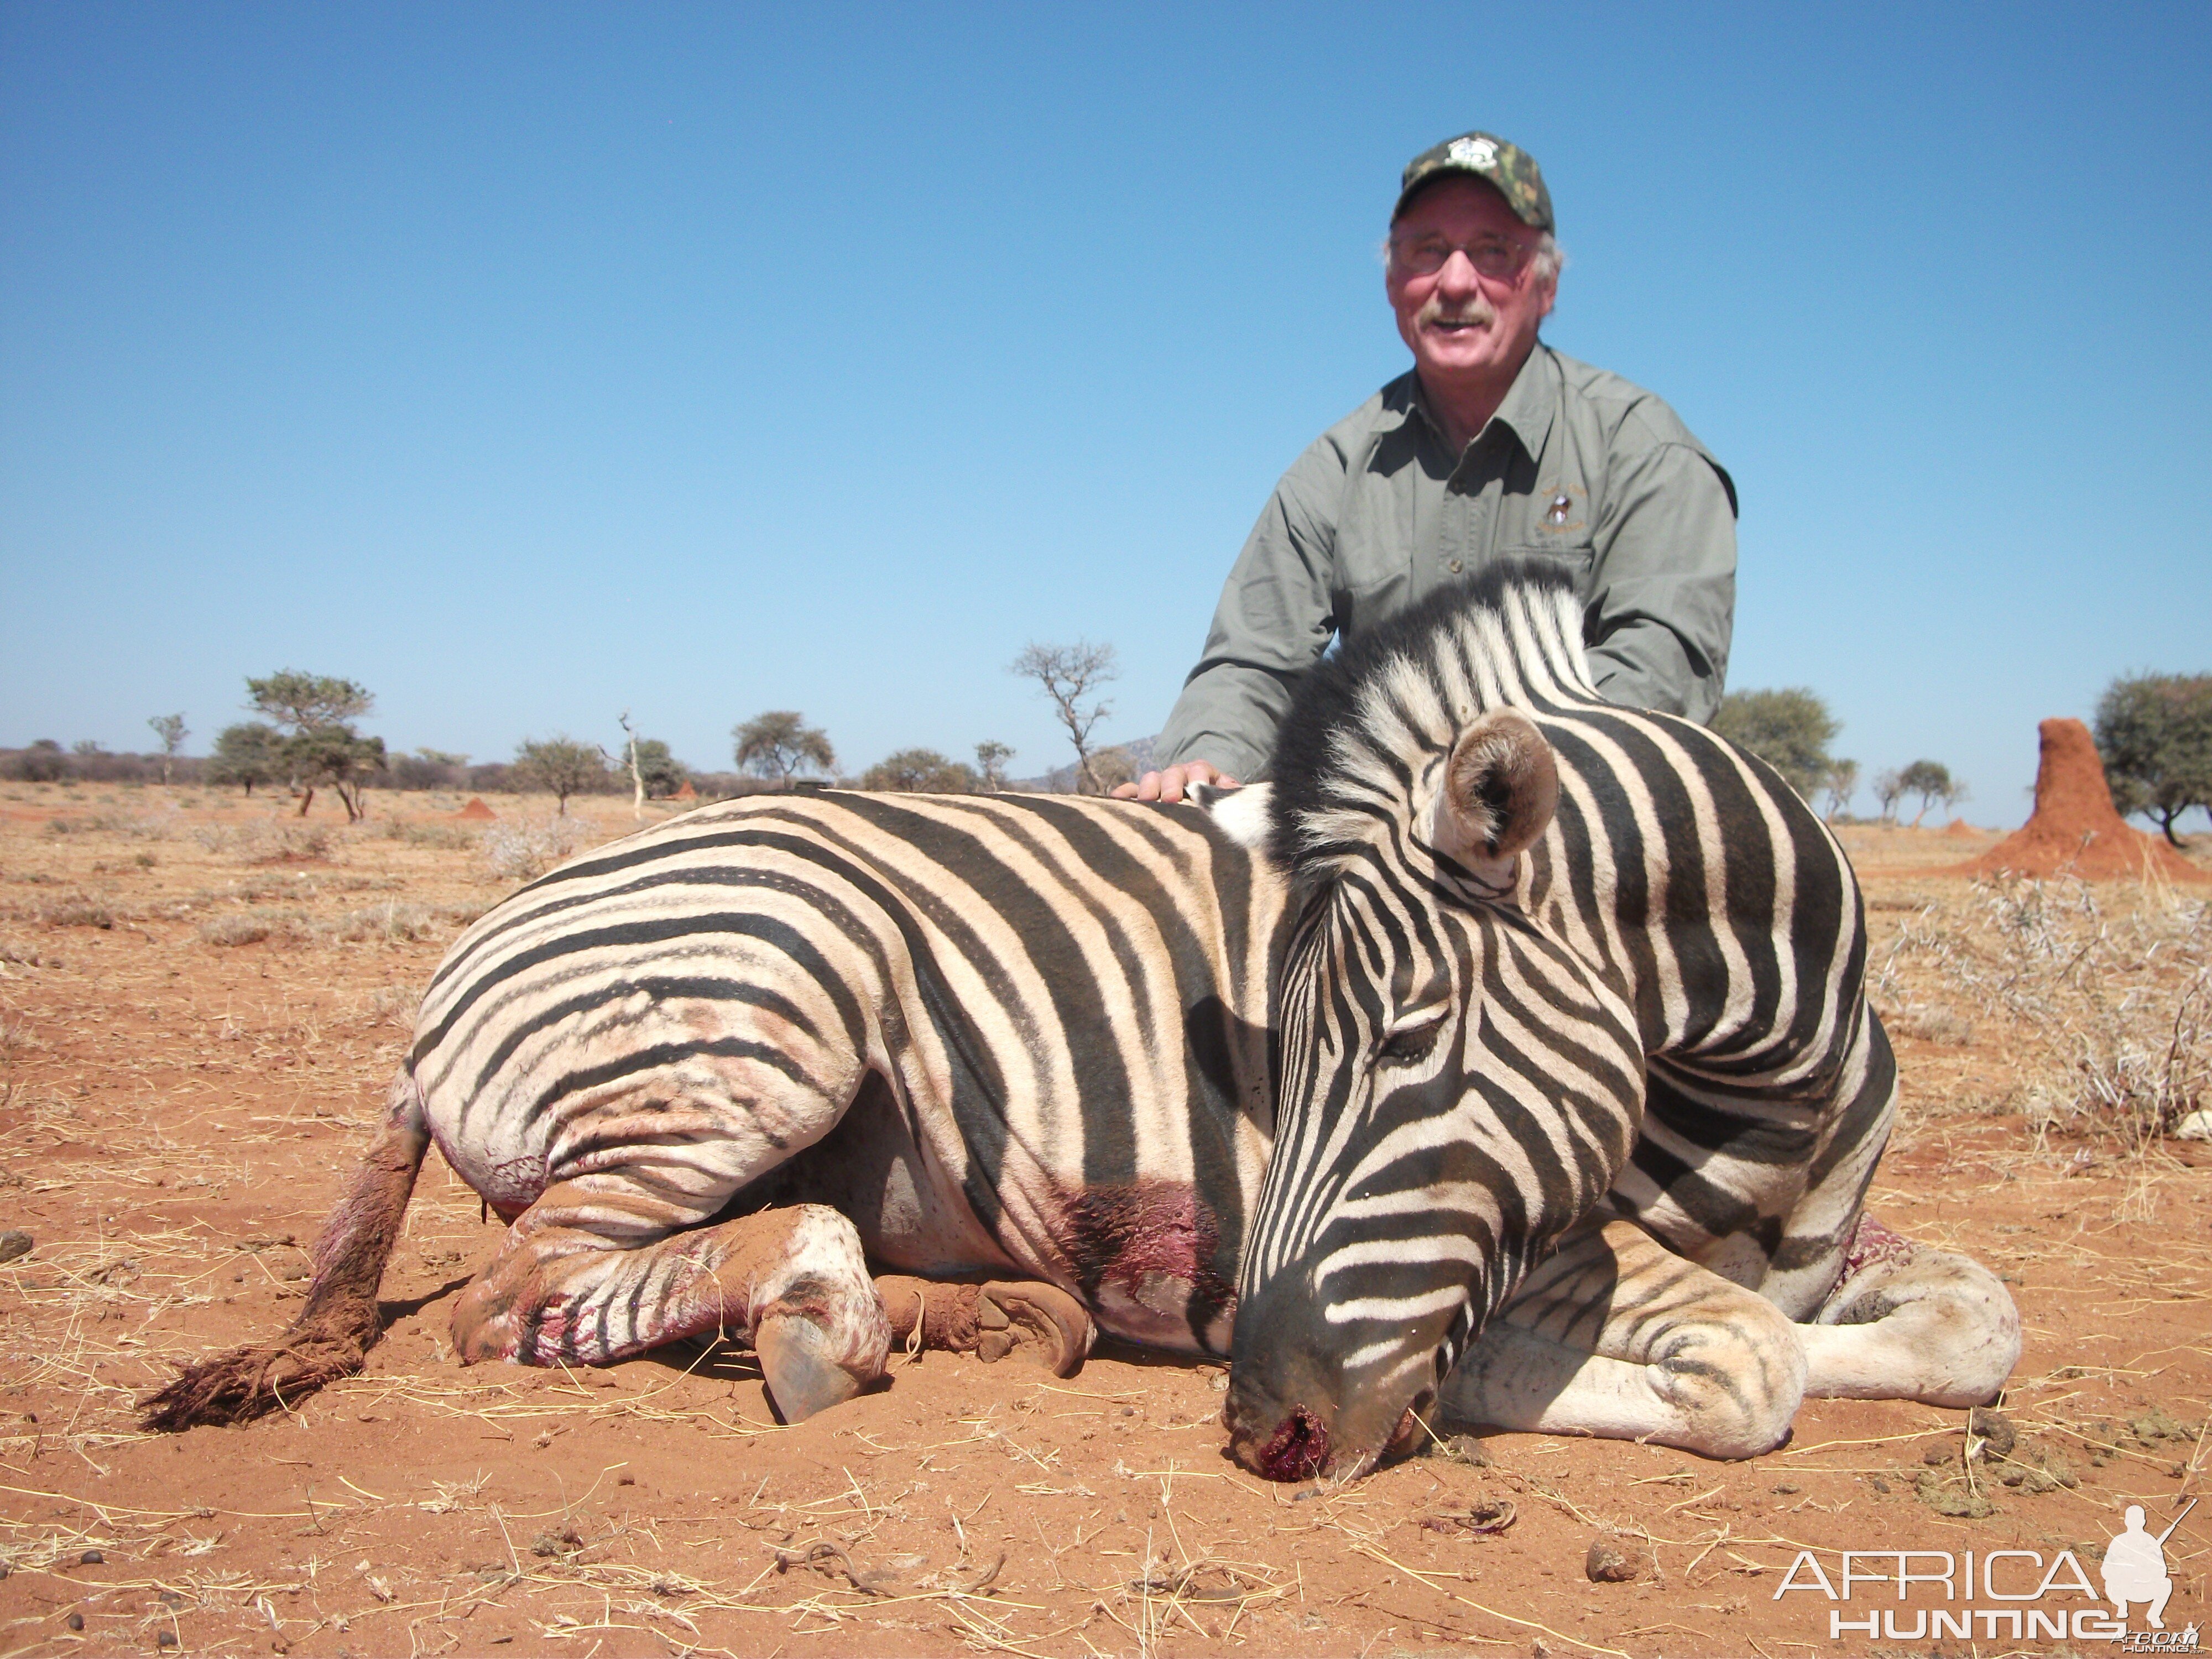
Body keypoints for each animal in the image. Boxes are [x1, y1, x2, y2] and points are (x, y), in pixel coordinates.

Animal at [143, 560, 2026, 1478]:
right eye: (1291, 1061)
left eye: (1408, 1043)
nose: (1272, 1413)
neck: (1773, 1090)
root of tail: (454, 977)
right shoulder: (1552, 1250)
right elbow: (1749, 1365)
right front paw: (1483, 1387)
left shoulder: (1821, 1240)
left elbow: (1966, 1323)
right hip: (769, 1007)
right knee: (524, 1295)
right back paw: (823, 1318)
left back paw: (989, 1317)